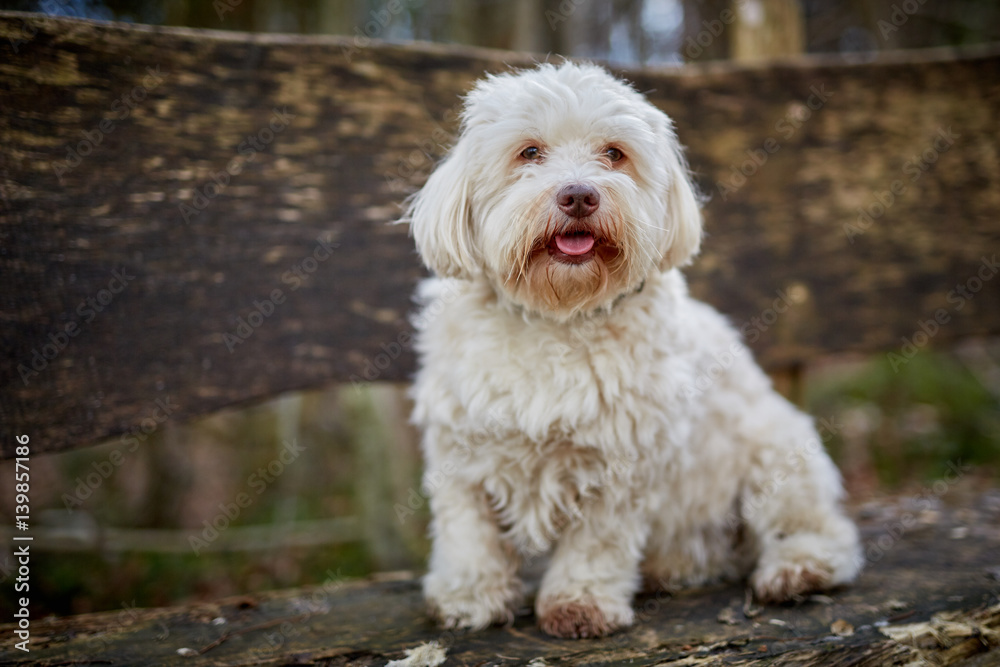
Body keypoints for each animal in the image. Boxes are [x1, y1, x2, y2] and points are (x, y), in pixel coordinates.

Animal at [402, 62, 864, 640]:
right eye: (529, 152)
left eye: (614, 153)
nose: (579, 195)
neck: (558, 315)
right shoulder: (460, 453)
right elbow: (469, 534)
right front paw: (468, 597)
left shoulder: (619, 465)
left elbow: (595, 544)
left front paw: (580, 603)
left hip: (776, 456)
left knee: (821, 533)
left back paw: (797, 570)